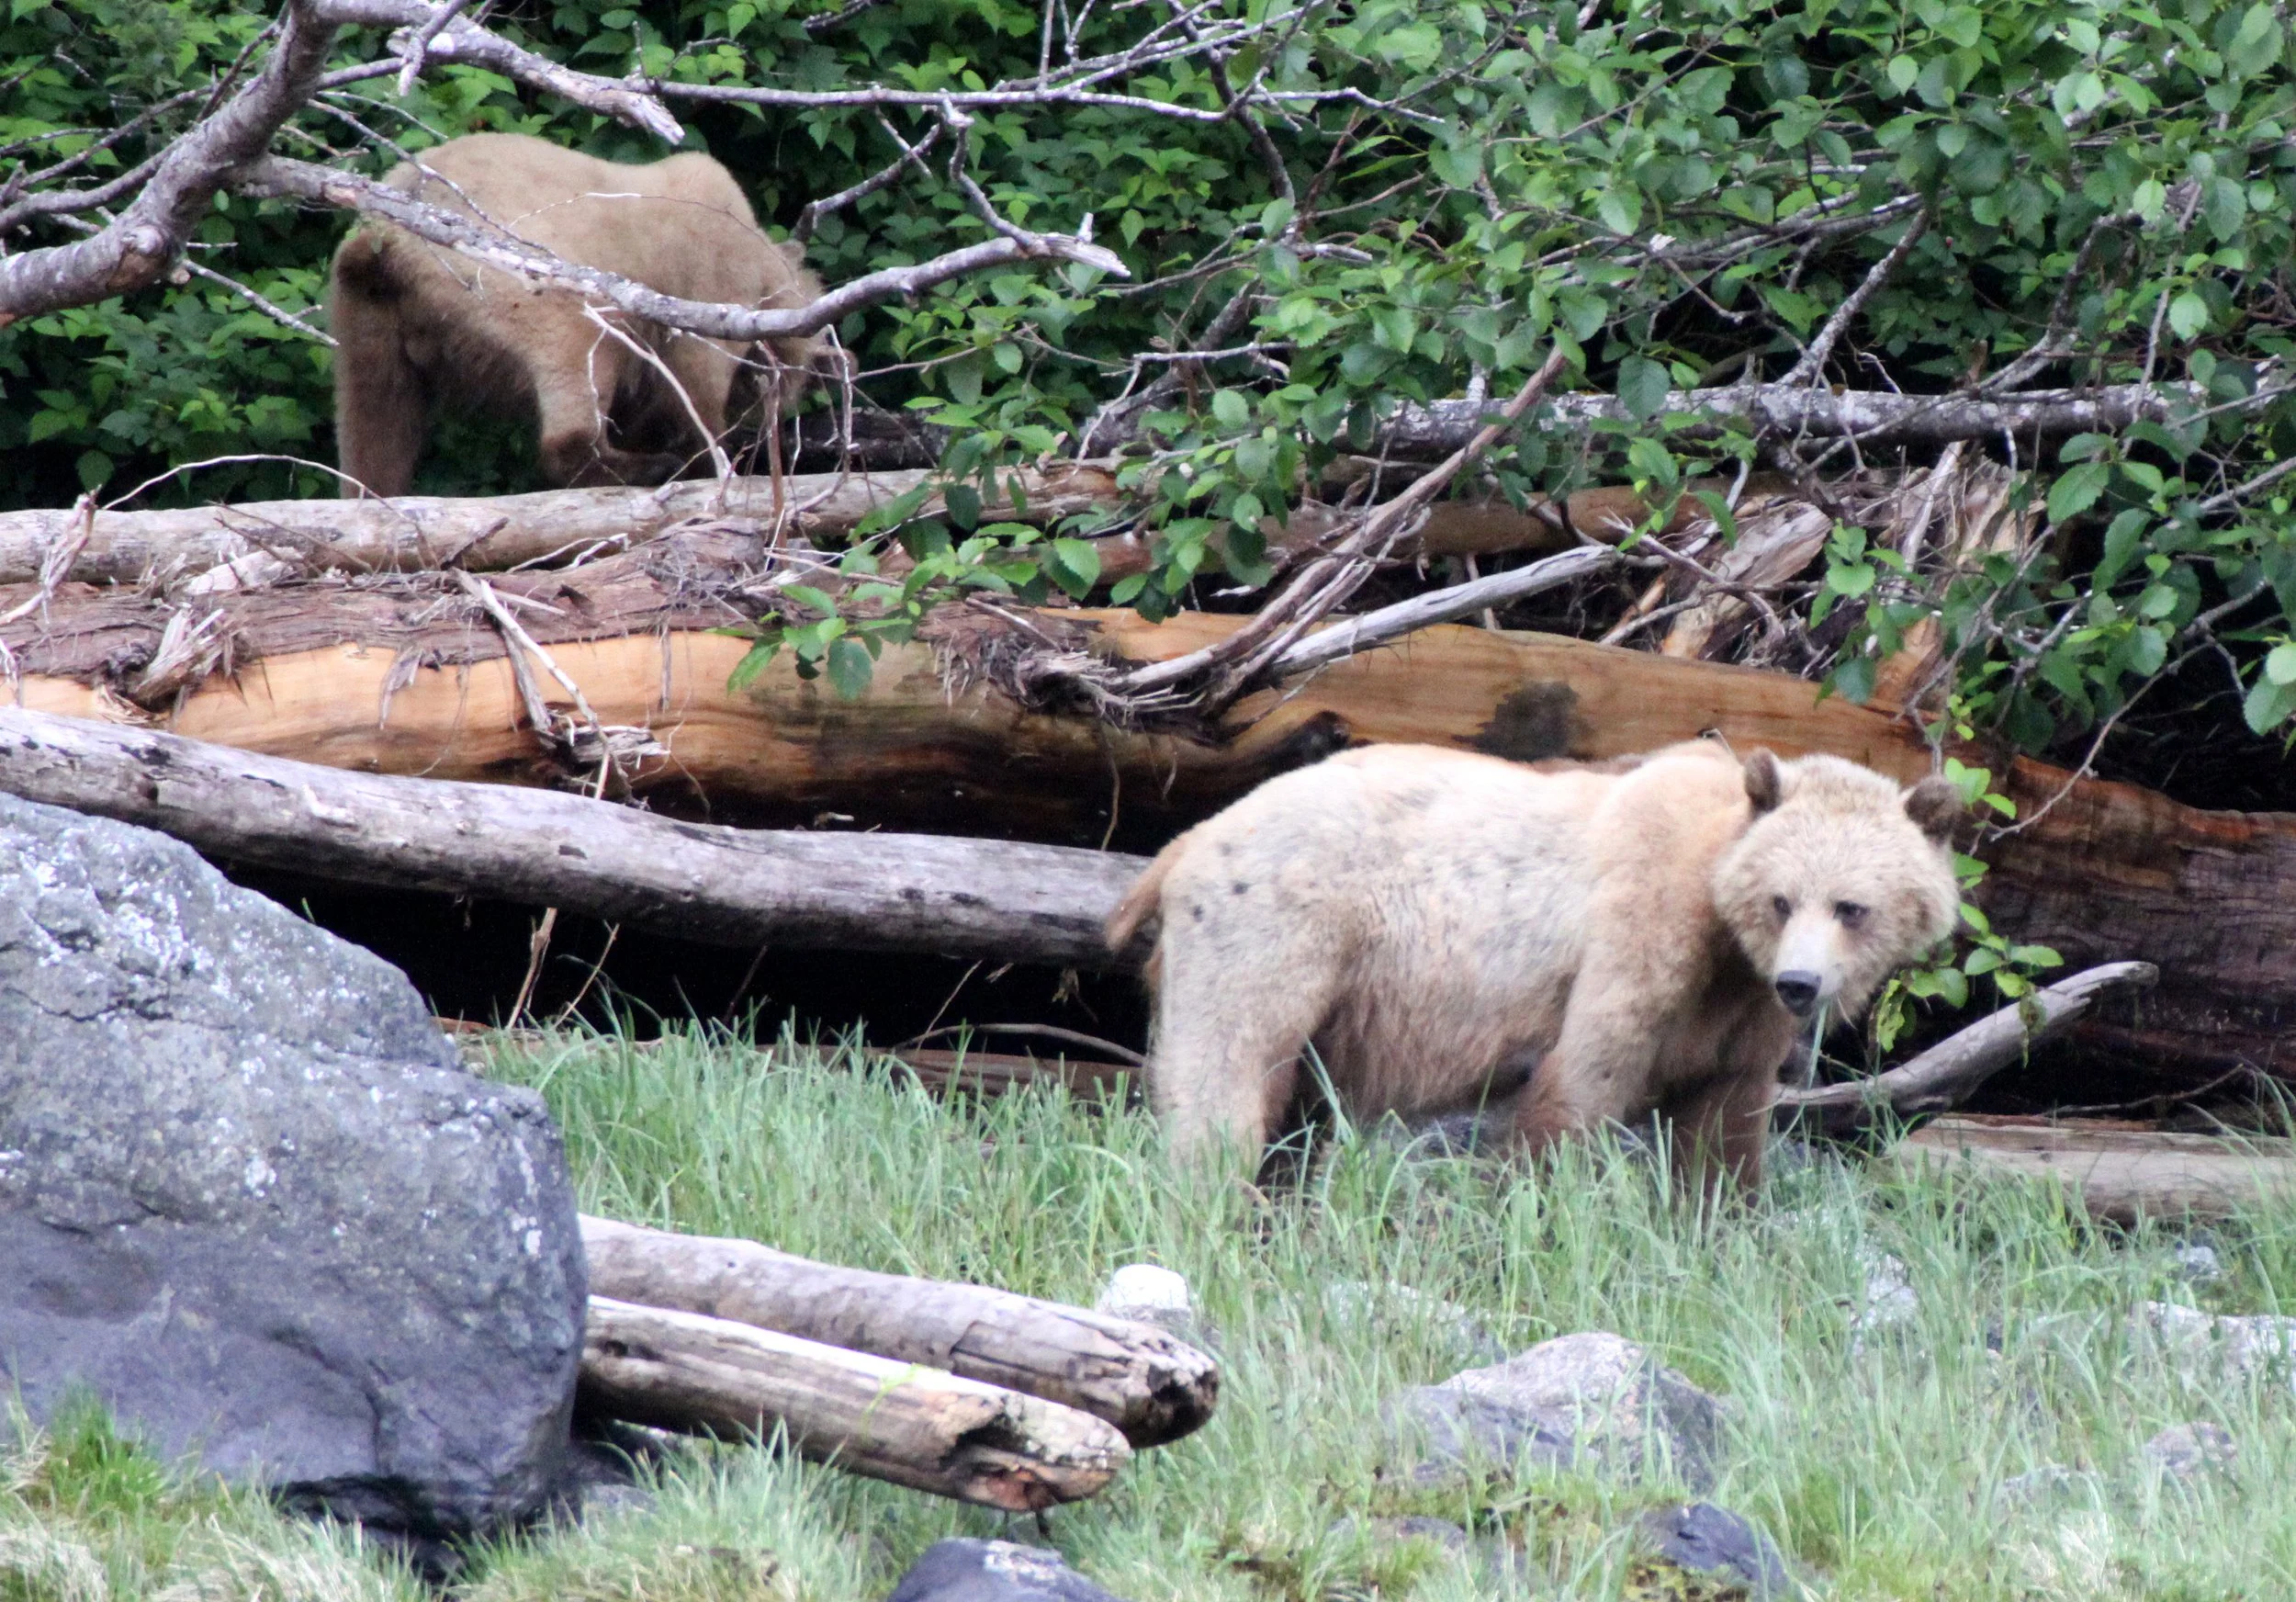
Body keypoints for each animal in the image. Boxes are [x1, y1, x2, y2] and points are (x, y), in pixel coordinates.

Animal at [329, 132, 823, 497]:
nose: (776, 410)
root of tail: (390, 240)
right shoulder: (707, 276)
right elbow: (693, 384)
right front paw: (711, 456)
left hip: (369, 310)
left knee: (376, 420)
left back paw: (371, 490)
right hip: (515, 271)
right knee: (577, 356)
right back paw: (643, 467)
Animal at [1104, 738, 1963, 1190]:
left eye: (1852, 907)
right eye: (1783, 899)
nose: (1800, 984)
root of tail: (1184, 840)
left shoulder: (1738, 1022)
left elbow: (1722, 1128)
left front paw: (1718, 1223)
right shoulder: (1642, 931)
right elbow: (1584, 1079)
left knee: (1293, 1119)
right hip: (1274, 928)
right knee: (1228, 1077)